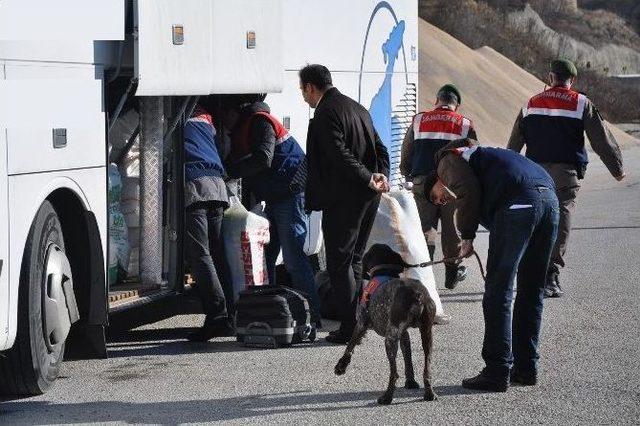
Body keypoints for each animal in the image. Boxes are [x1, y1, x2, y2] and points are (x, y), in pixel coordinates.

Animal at [336, 243, 436, 402]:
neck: (383, 271)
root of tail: (417, 295)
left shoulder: (361, 323)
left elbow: (350, 346)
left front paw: (341, 366)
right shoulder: (404, 335)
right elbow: (408, 360)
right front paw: (411, 382)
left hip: (390, 340)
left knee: (394, 373)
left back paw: (386, 397)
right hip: (427, 336)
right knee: (427, 370)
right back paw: (429, 393)